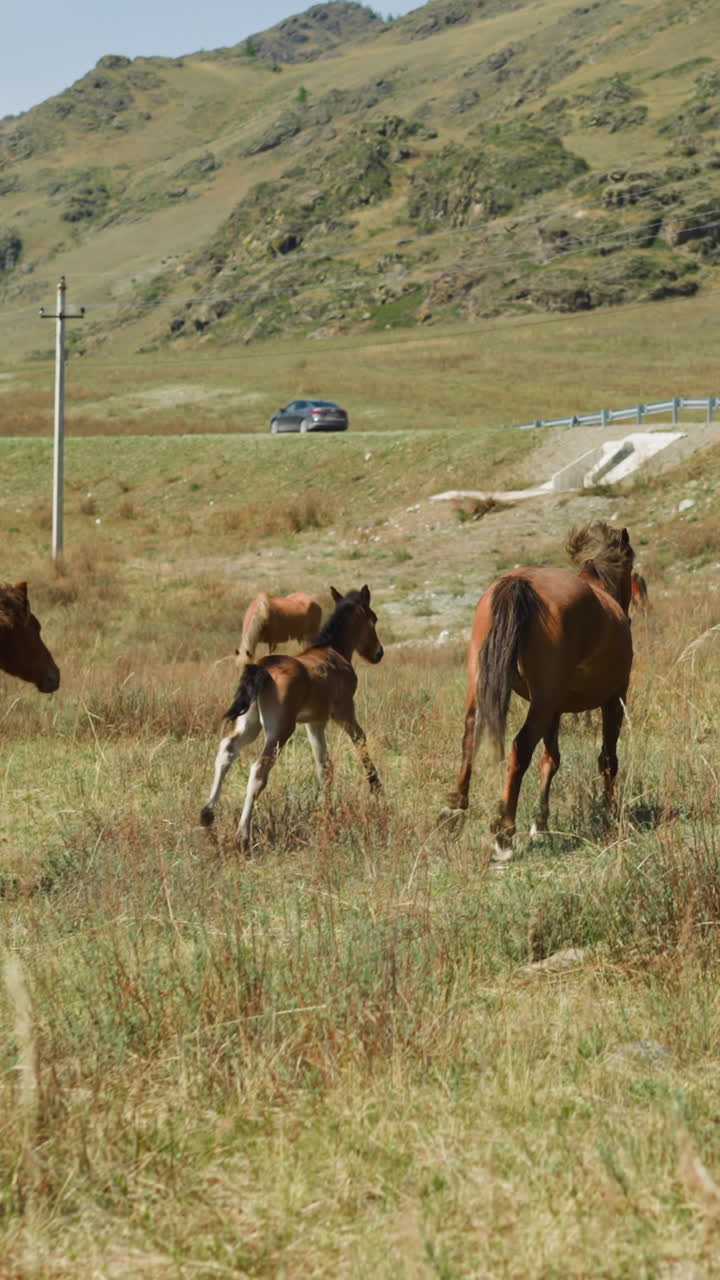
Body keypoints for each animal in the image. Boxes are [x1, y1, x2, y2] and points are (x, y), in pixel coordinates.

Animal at [201, 585, 383, 850]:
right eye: (373, 619)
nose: (379, 653)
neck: (332, 650)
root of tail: (262, 668)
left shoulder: (314, 722)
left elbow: (324, 766)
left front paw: (326, 811)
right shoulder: (344, 711)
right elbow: (360, 740)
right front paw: (376, 787)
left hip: (250, 723)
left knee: (227, 750)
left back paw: (207, 815)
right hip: (280, 729)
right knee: (259, 769)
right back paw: (243, 834)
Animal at [443, 523, 634, 860]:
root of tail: (518, 583)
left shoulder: (555, 708)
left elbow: (551, 759)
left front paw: (541, 824)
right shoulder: (615, 698)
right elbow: (608, 759)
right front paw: (611, 812)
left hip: (487, 689)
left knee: (469, 739)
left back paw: (455, 814)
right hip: (543, 703)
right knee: (519, 749)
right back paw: (504, 834)